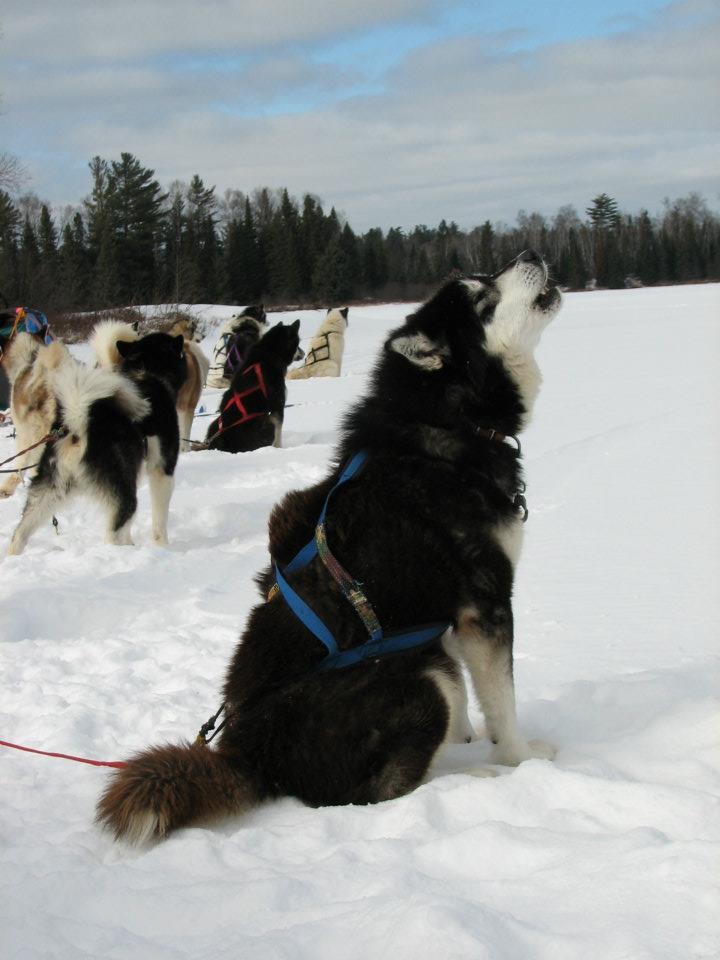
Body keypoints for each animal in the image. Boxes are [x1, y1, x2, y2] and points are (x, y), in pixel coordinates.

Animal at [98, 251, 564, 844]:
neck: (445, 425)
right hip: (419, 682)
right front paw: (519, 759)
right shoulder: (486, 605)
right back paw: (466, 780)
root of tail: (248, 756)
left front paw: (467, 740)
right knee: (373, 794)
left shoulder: (441, 620)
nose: (529, 255)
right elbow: (503, 701)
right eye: (483, 298)